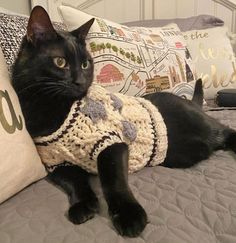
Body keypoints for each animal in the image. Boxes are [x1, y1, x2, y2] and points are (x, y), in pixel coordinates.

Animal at [11, 5, 236, 237]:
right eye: (60, 62)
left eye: (85, 64)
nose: (81, 81)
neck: (49, 109)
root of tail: (191, 101)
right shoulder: (56, 162)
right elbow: (75, 182)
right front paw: (83, 205)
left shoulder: (111, 142)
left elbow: (114, 182)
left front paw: (129, 215)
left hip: (201, 125)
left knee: (226, 131)